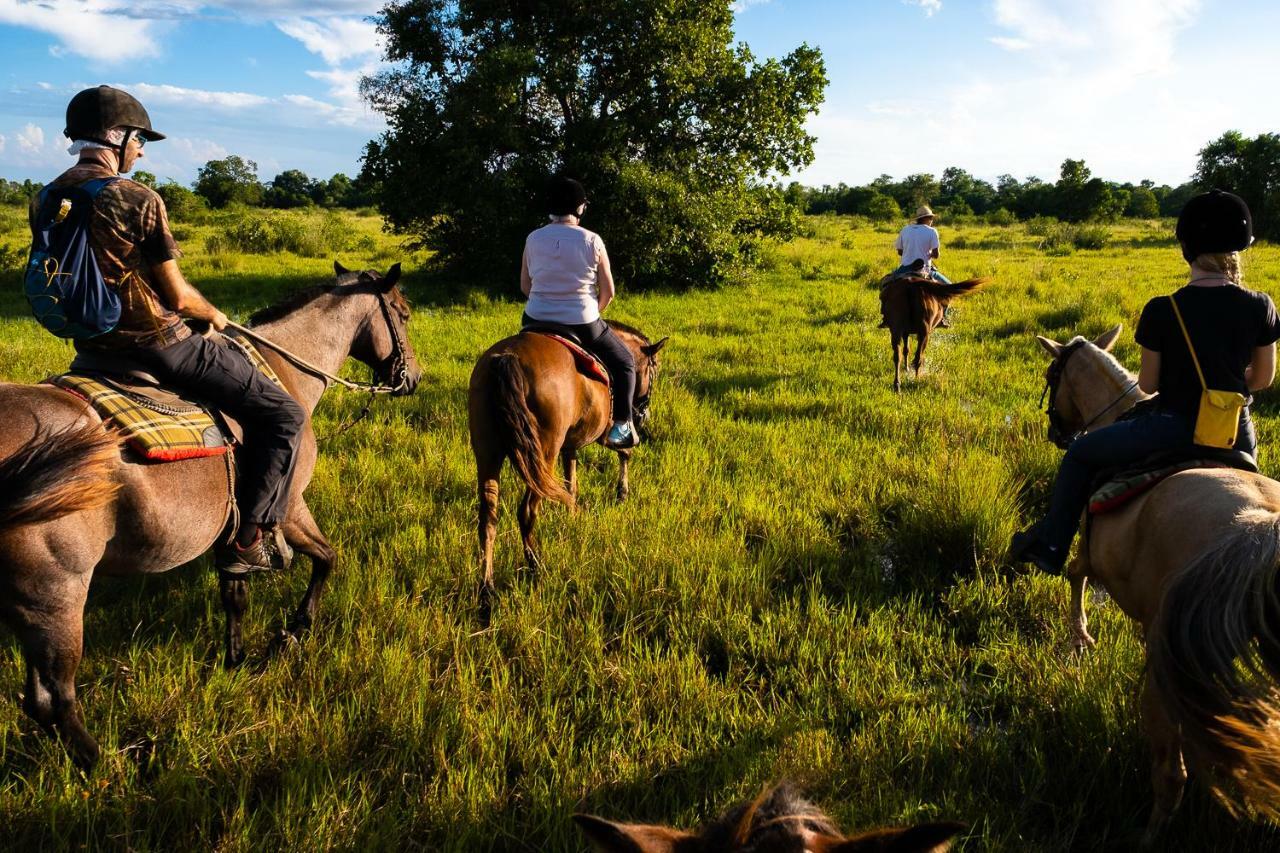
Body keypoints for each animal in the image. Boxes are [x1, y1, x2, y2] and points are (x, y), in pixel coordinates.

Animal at [0, 262, 422, 768]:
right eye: (402, 312)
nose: (414, 377)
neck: (285, 371)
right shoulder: (287, 508)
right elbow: (327, 558)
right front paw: (295, 630)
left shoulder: (233, 530)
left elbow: (234, 595)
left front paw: (236, 658)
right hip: (56, 599)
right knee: (53, 699)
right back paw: (106, 765)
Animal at [471, 320, 670, 604]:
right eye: (653, 371)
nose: (644, 413)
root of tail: (506, 359)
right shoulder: (605, 431)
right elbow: (625, 452)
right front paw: (621, 493)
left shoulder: (570, 444)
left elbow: (571, 483)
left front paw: (573, 515)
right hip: (543, 454)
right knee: (527, 512)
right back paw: (535, 567)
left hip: (487, 452)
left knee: (488, 518)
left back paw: (487, 588)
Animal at [1034, 326, 1280, 845]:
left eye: (1052, 375)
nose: (1058, 434)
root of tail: (1259, 533)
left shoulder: (1088, 545)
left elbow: (1074, 574)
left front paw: (1081, 637)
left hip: (1168, 677)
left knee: (1170, 776)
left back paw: (1145, 836)